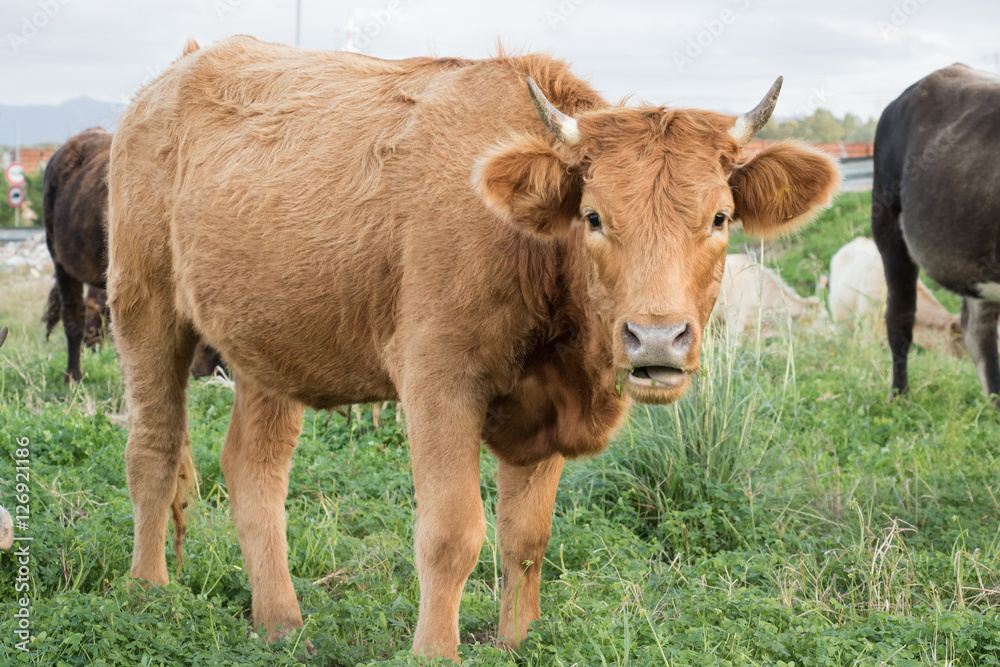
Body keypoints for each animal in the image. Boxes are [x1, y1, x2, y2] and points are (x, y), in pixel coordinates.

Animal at [108, 36, 839, 662]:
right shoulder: (438, 381)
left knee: (254, 468)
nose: (656, 337)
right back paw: (149, 592)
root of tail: (171, 76)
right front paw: (436, 651)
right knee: (153, 447)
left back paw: (281, 623)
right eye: (594, 216)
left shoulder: (545, 410)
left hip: (270, 346)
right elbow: (451, 532)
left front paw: (518, 642)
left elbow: (526, 537)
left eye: (719, 218)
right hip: (143, 306)